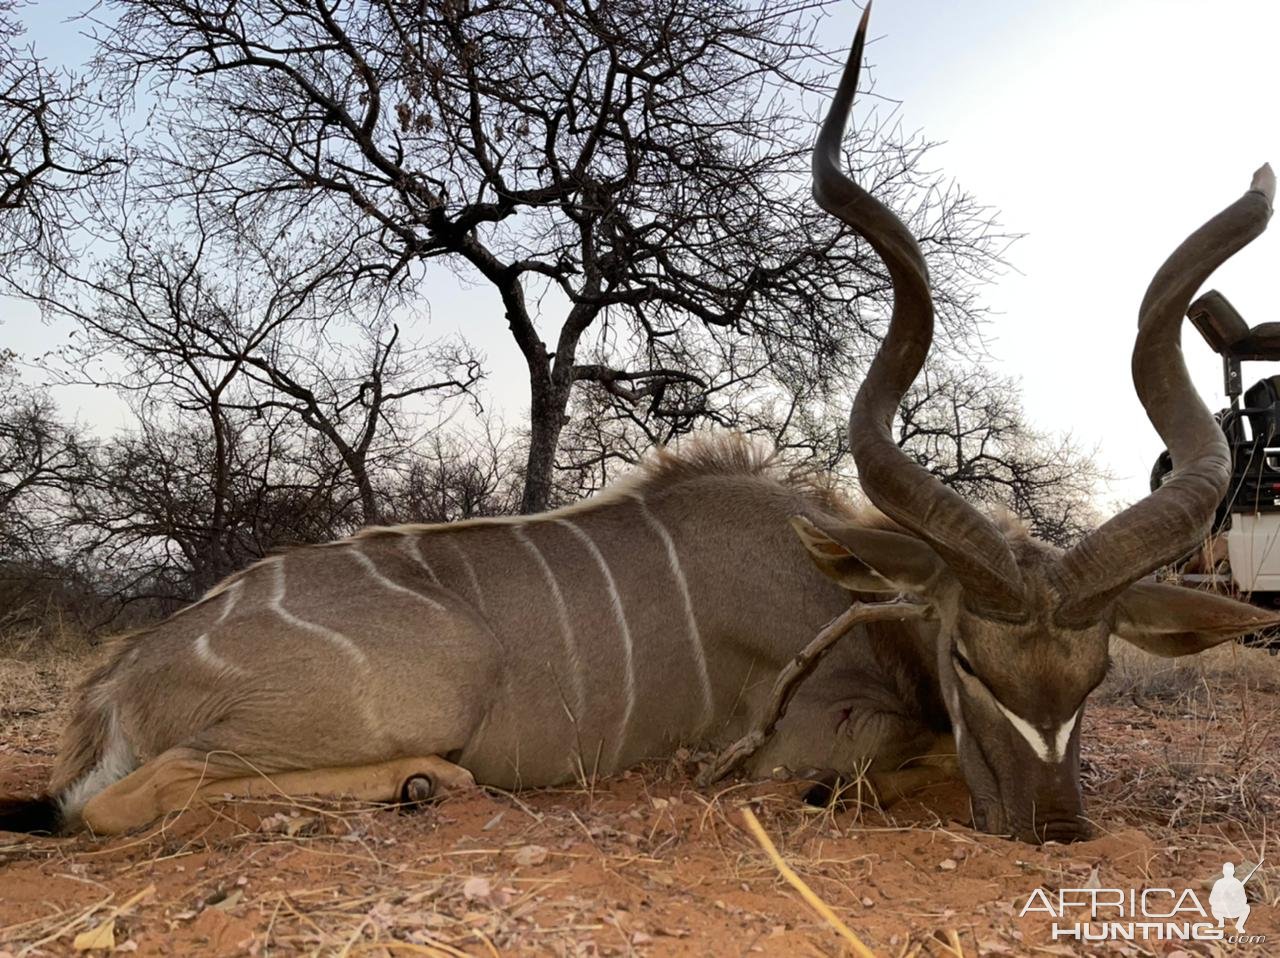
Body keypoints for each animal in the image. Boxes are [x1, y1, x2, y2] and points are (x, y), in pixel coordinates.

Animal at [2, 11, 1280, 840]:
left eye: (1095, 672)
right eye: (967, 656)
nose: (1056, 828)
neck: (833, 583)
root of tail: (120, 677)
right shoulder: (814, 732)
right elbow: (879, 767)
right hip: (430, 685)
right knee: (124, 800)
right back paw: (424, 782)